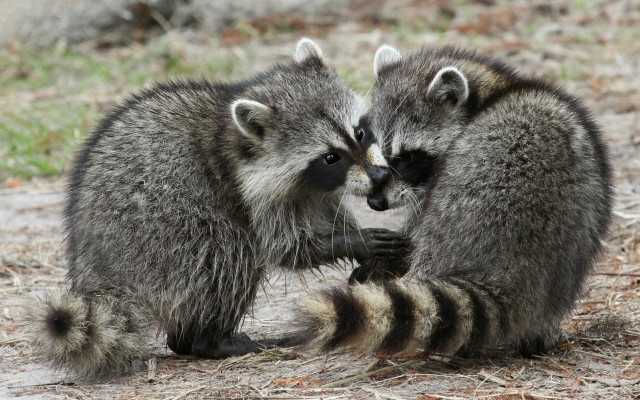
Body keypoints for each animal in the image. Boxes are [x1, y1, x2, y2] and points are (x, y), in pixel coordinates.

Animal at [28, 39, 408, 378]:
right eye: (331, 157)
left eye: (360, 133)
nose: (379, 175)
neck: (237, 139)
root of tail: (98, 271)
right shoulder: (250, 194)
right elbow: (287, 248)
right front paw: (355, 241)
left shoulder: (311, 191)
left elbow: (327, 215)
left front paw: (358, 243)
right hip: (166, 237)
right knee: (229, 255)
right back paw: (211, 341)